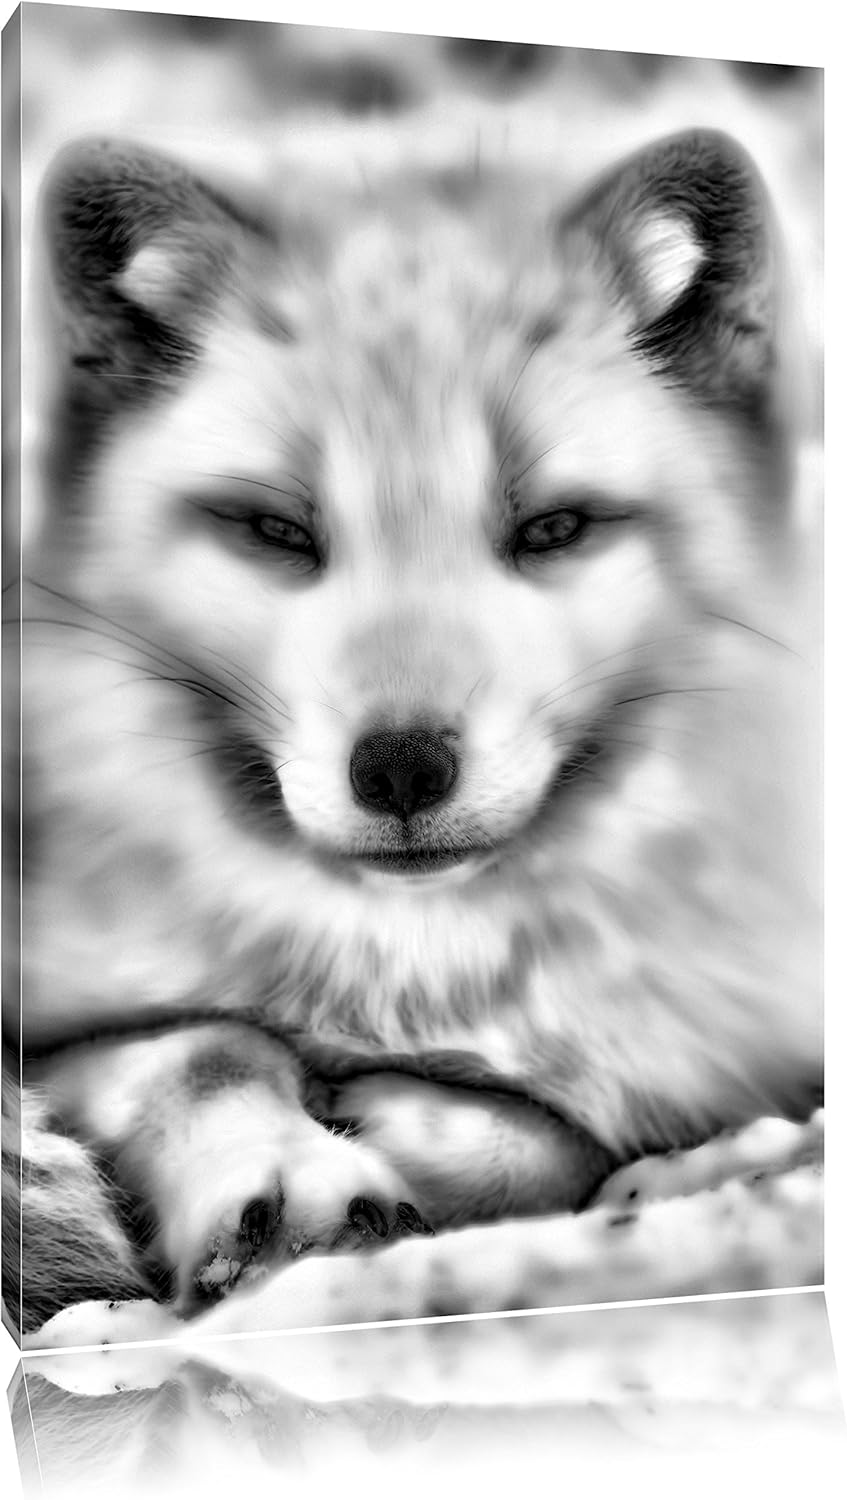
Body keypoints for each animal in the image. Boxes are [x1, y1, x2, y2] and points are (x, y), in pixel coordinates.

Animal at [3, 122, 822, 1344]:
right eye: (276, 532)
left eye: (554, 529)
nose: (399, 771)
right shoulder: (64, 1012)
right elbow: (209, 1046)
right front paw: (290, 1179)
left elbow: (561, 1135)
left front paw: (405, 1125)